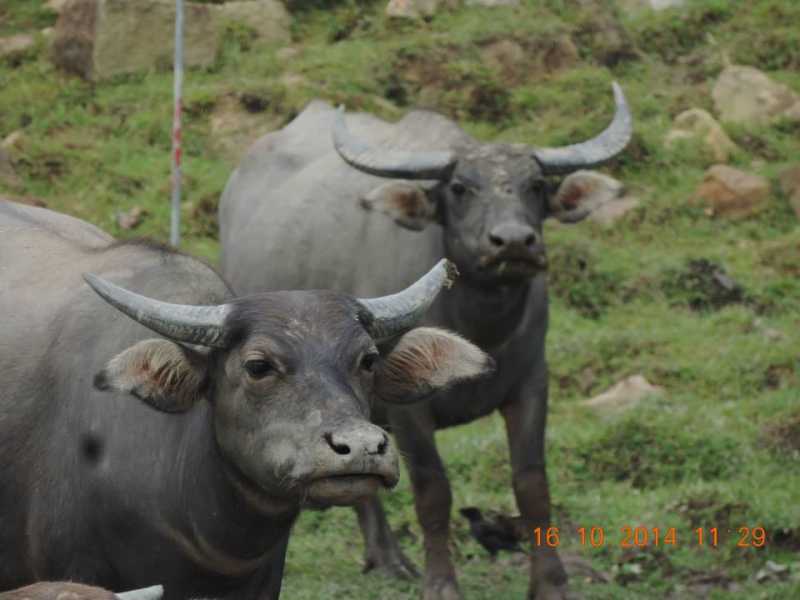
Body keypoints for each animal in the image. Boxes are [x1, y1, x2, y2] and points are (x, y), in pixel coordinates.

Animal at [219, 82, 632, 596]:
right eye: (460, 188)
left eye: (535, 186)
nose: (514, 242)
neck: (478, 330)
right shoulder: (407, 410)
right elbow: (433, 490)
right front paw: (441, 583)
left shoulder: (532, 383)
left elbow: (532, 486)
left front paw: (552, 583)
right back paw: (392, 558)